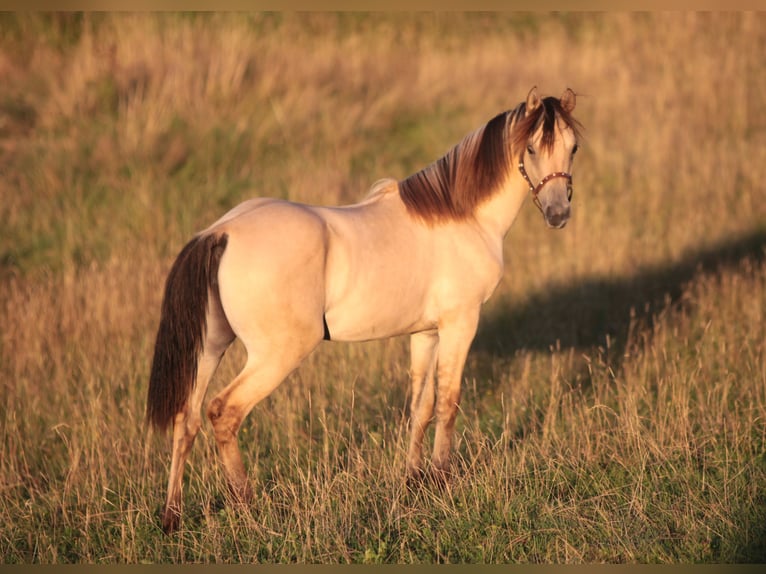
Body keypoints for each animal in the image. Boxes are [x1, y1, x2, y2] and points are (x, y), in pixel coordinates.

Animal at [147, 86, 584, 536]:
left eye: (573, 147)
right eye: (531, 148)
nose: (557, 214)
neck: (463, 217)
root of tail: (222, 231)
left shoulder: (426, 333)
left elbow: (421, 406)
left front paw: (413, 482)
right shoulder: (460, 324)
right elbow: (448, 402)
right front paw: (442, 481)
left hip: (211, 347)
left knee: (187, 419)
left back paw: (172, 517)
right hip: (276, 354)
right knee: (224, 413)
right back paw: (248, 508)